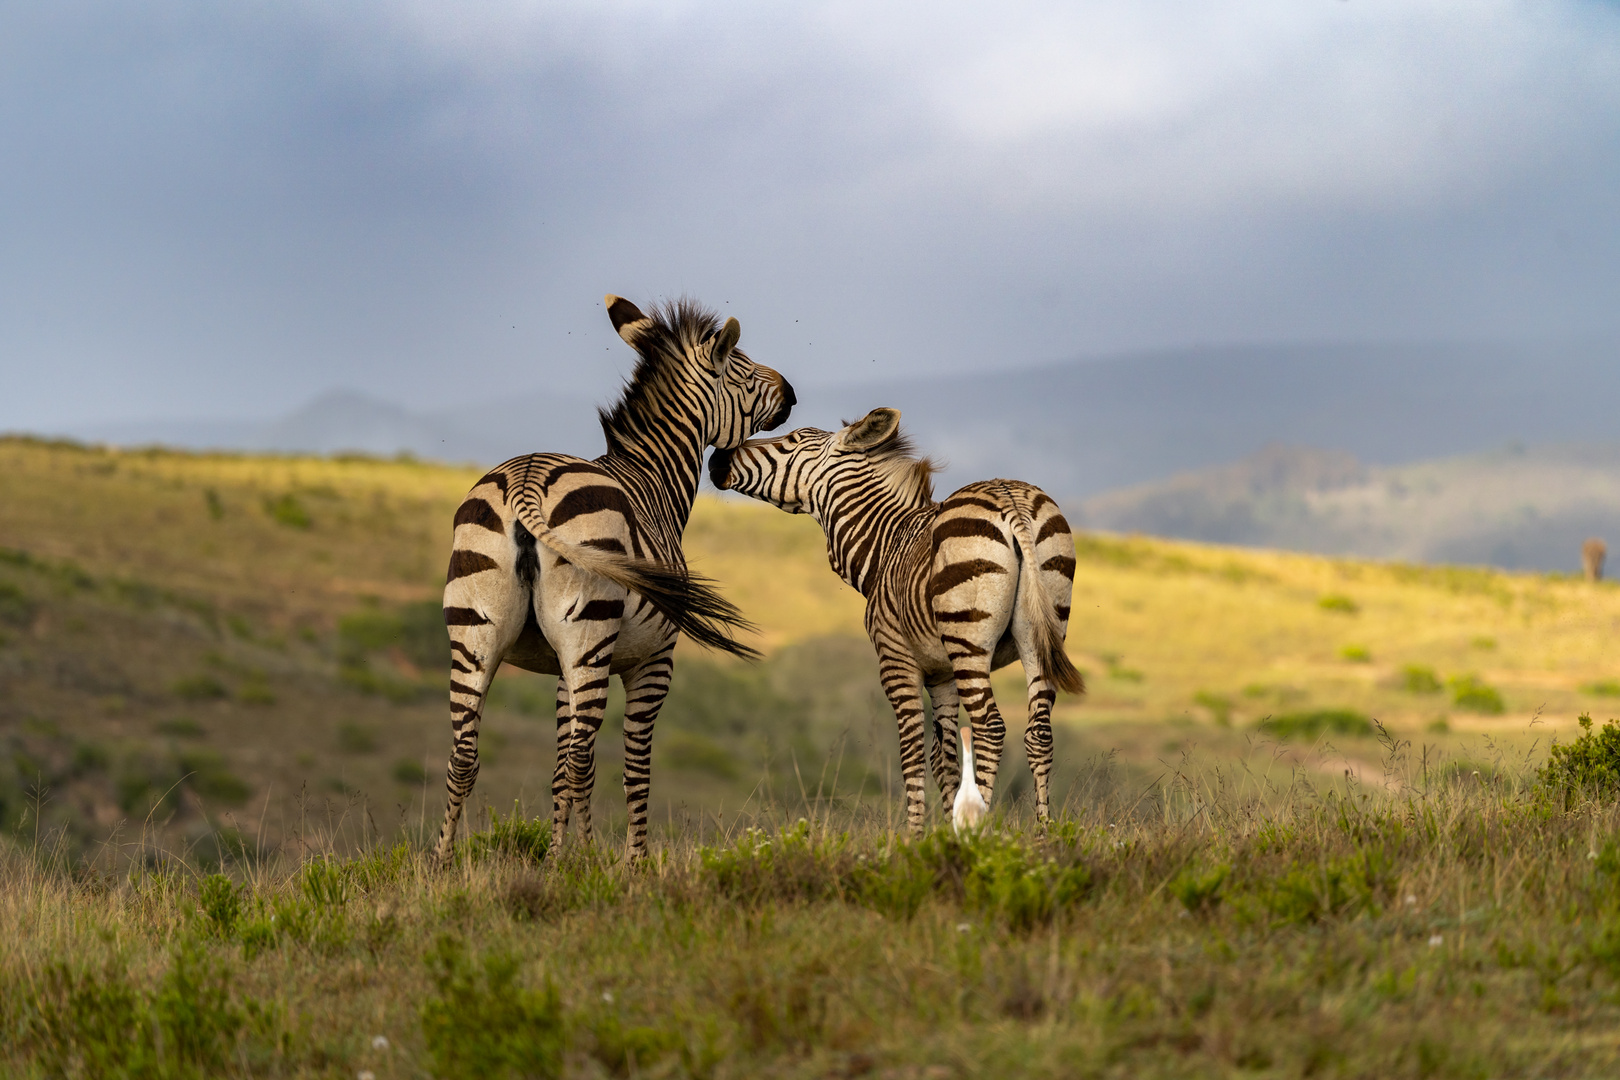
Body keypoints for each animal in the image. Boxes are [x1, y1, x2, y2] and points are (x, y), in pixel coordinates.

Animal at [437, 293, 797, 861]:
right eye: (738, 367)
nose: (791, 393)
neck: (653, 479)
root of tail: (525, 478)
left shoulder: (561, 668)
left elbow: (556, 771)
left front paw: (554, 856)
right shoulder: (652, 661)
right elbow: (634, 769)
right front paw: (631, 863)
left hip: (476, 633)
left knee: (464, 757)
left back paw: (442, 864)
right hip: (589, 634)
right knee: (584, 761)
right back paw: (588, 864)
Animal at [712, 409, 1082, 835]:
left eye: (790, 440)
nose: (716, 459)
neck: (884, 542)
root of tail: (1011, 498)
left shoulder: (896, 660)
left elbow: (912, 753)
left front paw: (917, 837)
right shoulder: (941, 673)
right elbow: (944, 757)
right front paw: (946, 830)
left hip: (969, 639)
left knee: (990, 726)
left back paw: (981, 828)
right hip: (1041, 633)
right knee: (1038, 732)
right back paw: (1043, 833)